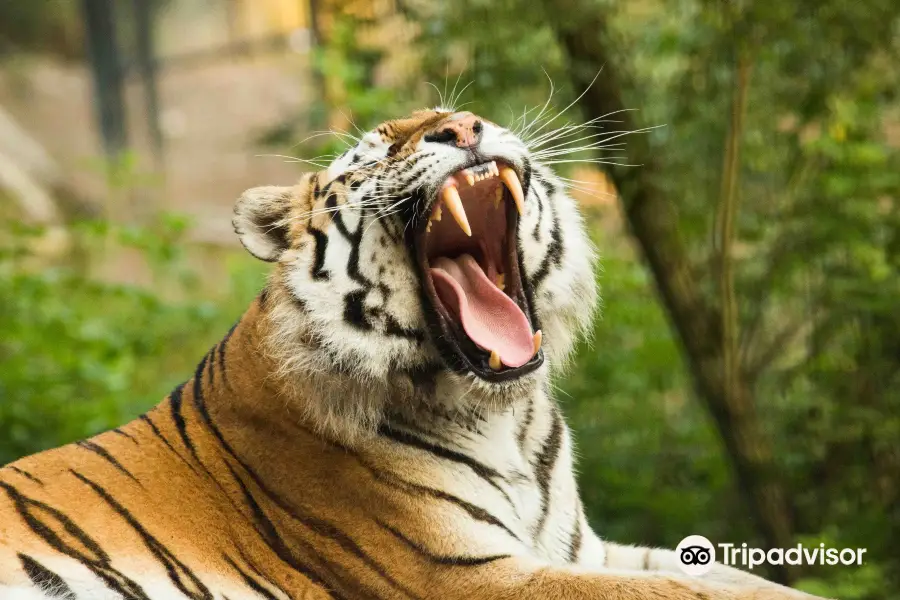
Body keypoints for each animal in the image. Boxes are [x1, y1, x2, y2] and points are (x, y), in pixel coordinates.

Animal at [0, 109, 828, 600]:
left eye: (465, 115)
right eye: (371, 154)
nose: (460, 127)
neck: (505, 413)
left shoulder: (580, 548)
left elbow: (742, 579)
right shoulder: (470, 575)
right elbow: (691, 592)